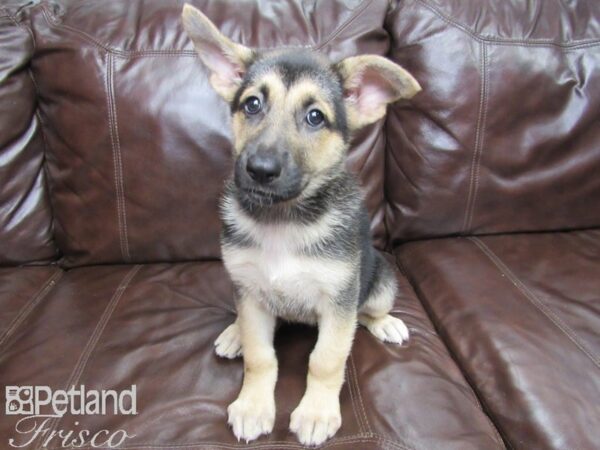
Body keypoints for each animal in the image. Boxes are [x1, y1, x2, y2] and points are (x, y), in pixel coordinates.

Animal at [180, 4, 420, 446]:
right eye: (252, 104)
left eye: (315, 117)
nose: (259, 170)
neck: (283, 219)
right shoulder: (251, 294)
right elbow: (260, 357)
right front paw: (254, 404)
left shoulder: (339, 302)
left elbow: (326, 359)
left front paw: (316, 412)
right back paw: (234, 332)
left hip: (378, 282)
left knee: (368, 312)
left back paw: (386, 323)